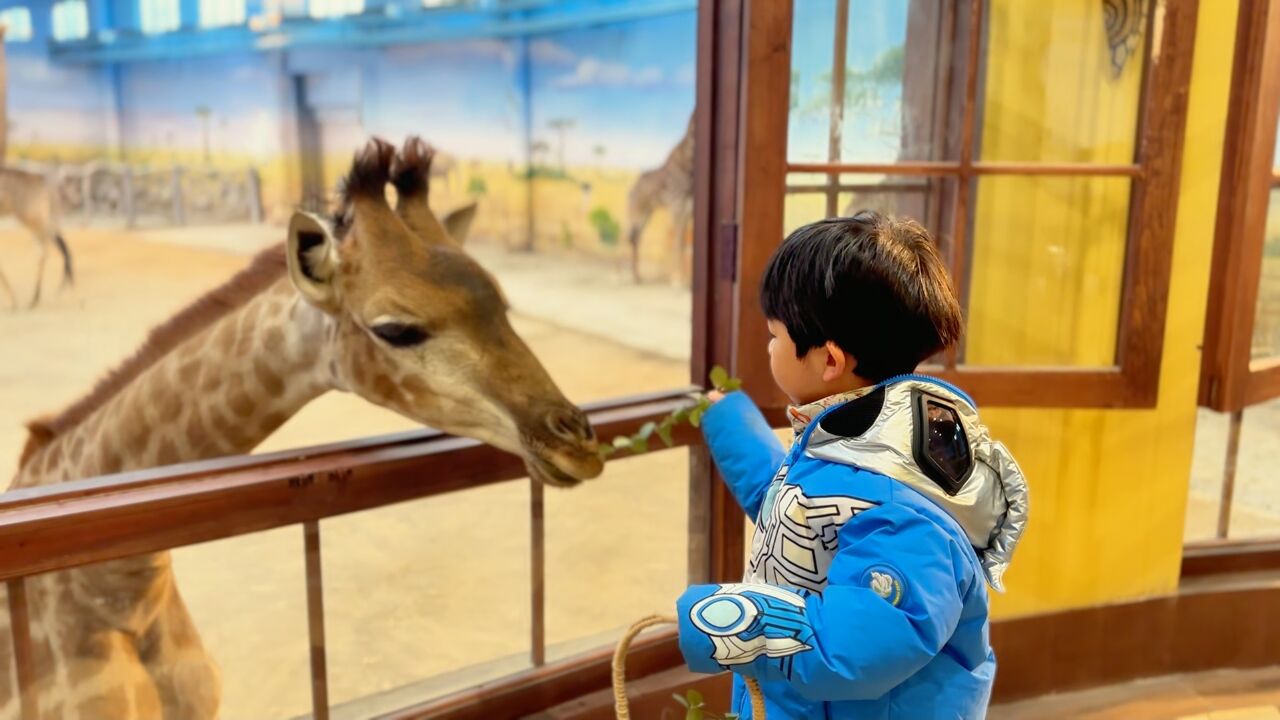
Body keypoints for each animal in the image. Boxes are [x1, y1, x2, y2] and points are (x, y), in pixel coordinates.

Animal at [627, 110, 696, 284]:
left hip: (645, 217)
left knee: (636, 240)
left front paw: (683, 280)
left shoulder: (688, 211)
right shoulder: (678, 210)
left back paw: (637, 277)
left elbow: (683, 244)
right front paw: (677, 280)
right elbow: (678, 245)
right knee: (627, 239)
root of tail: (633, 186)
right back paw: (626, 276)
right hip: (636, 216)